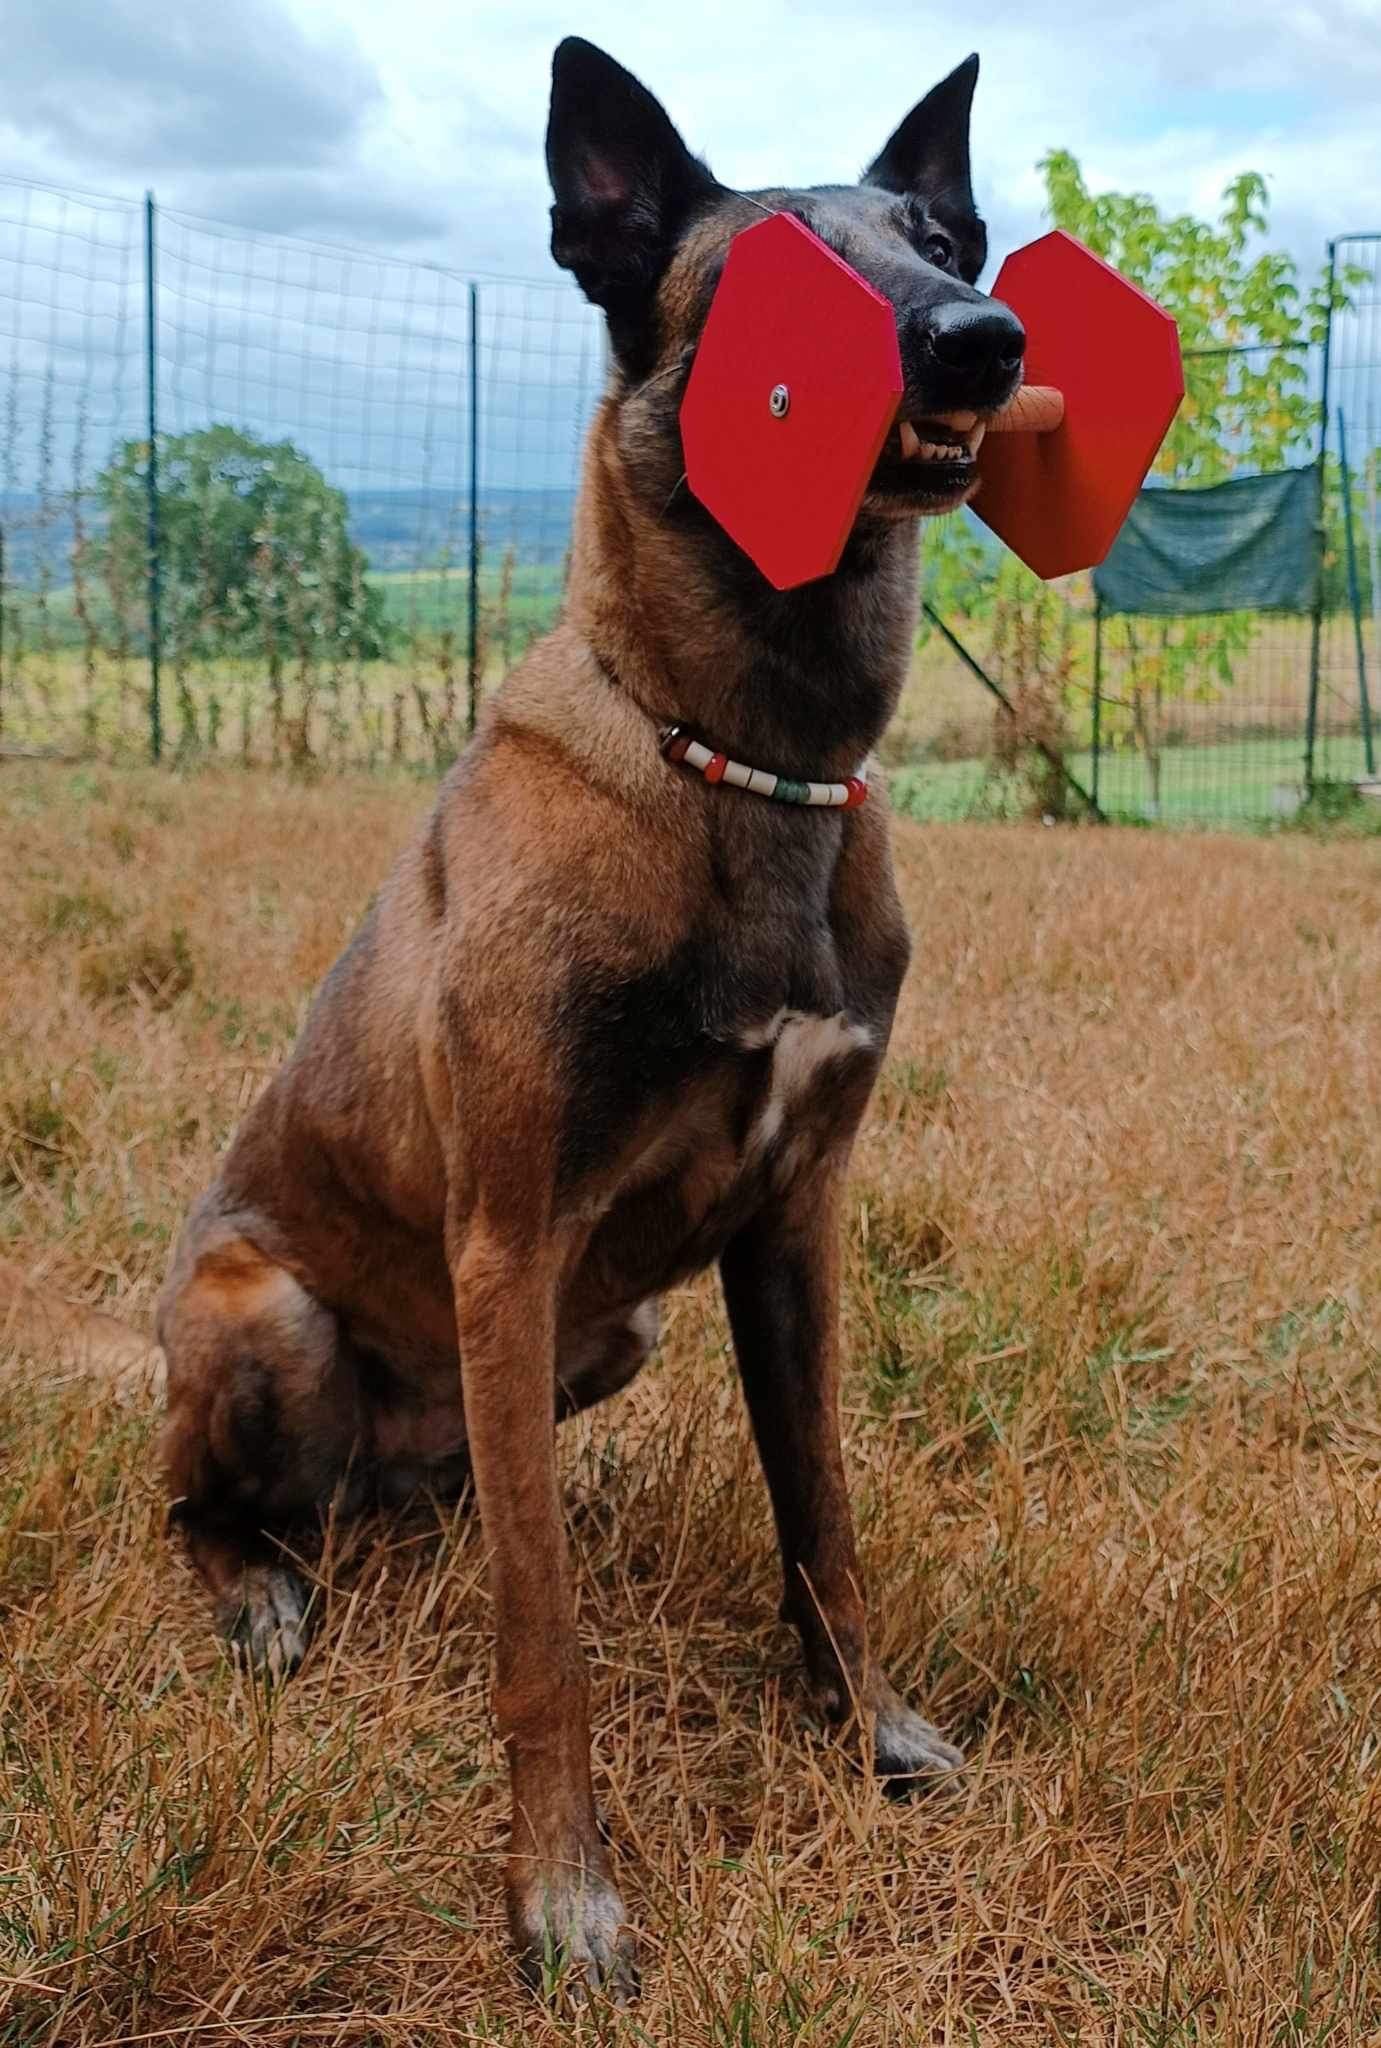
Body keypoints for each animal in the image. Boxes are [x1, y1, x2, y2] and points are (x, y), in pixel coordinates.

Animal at [155, 39, 1028, 1998]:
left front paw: (871, 1733)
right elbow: (540, 1637)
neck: (748, 764)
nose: (983, 337)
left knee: (465, 1495)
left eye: (941, 238)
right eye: (780, 280)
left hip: (595, 1339)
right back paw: (260, 1592)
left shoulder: (793, 1230)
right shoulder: (510, 1236)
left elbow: (823, 1521)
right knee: (207, 1506)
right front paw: (559, 1895)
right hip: (269, 1311)